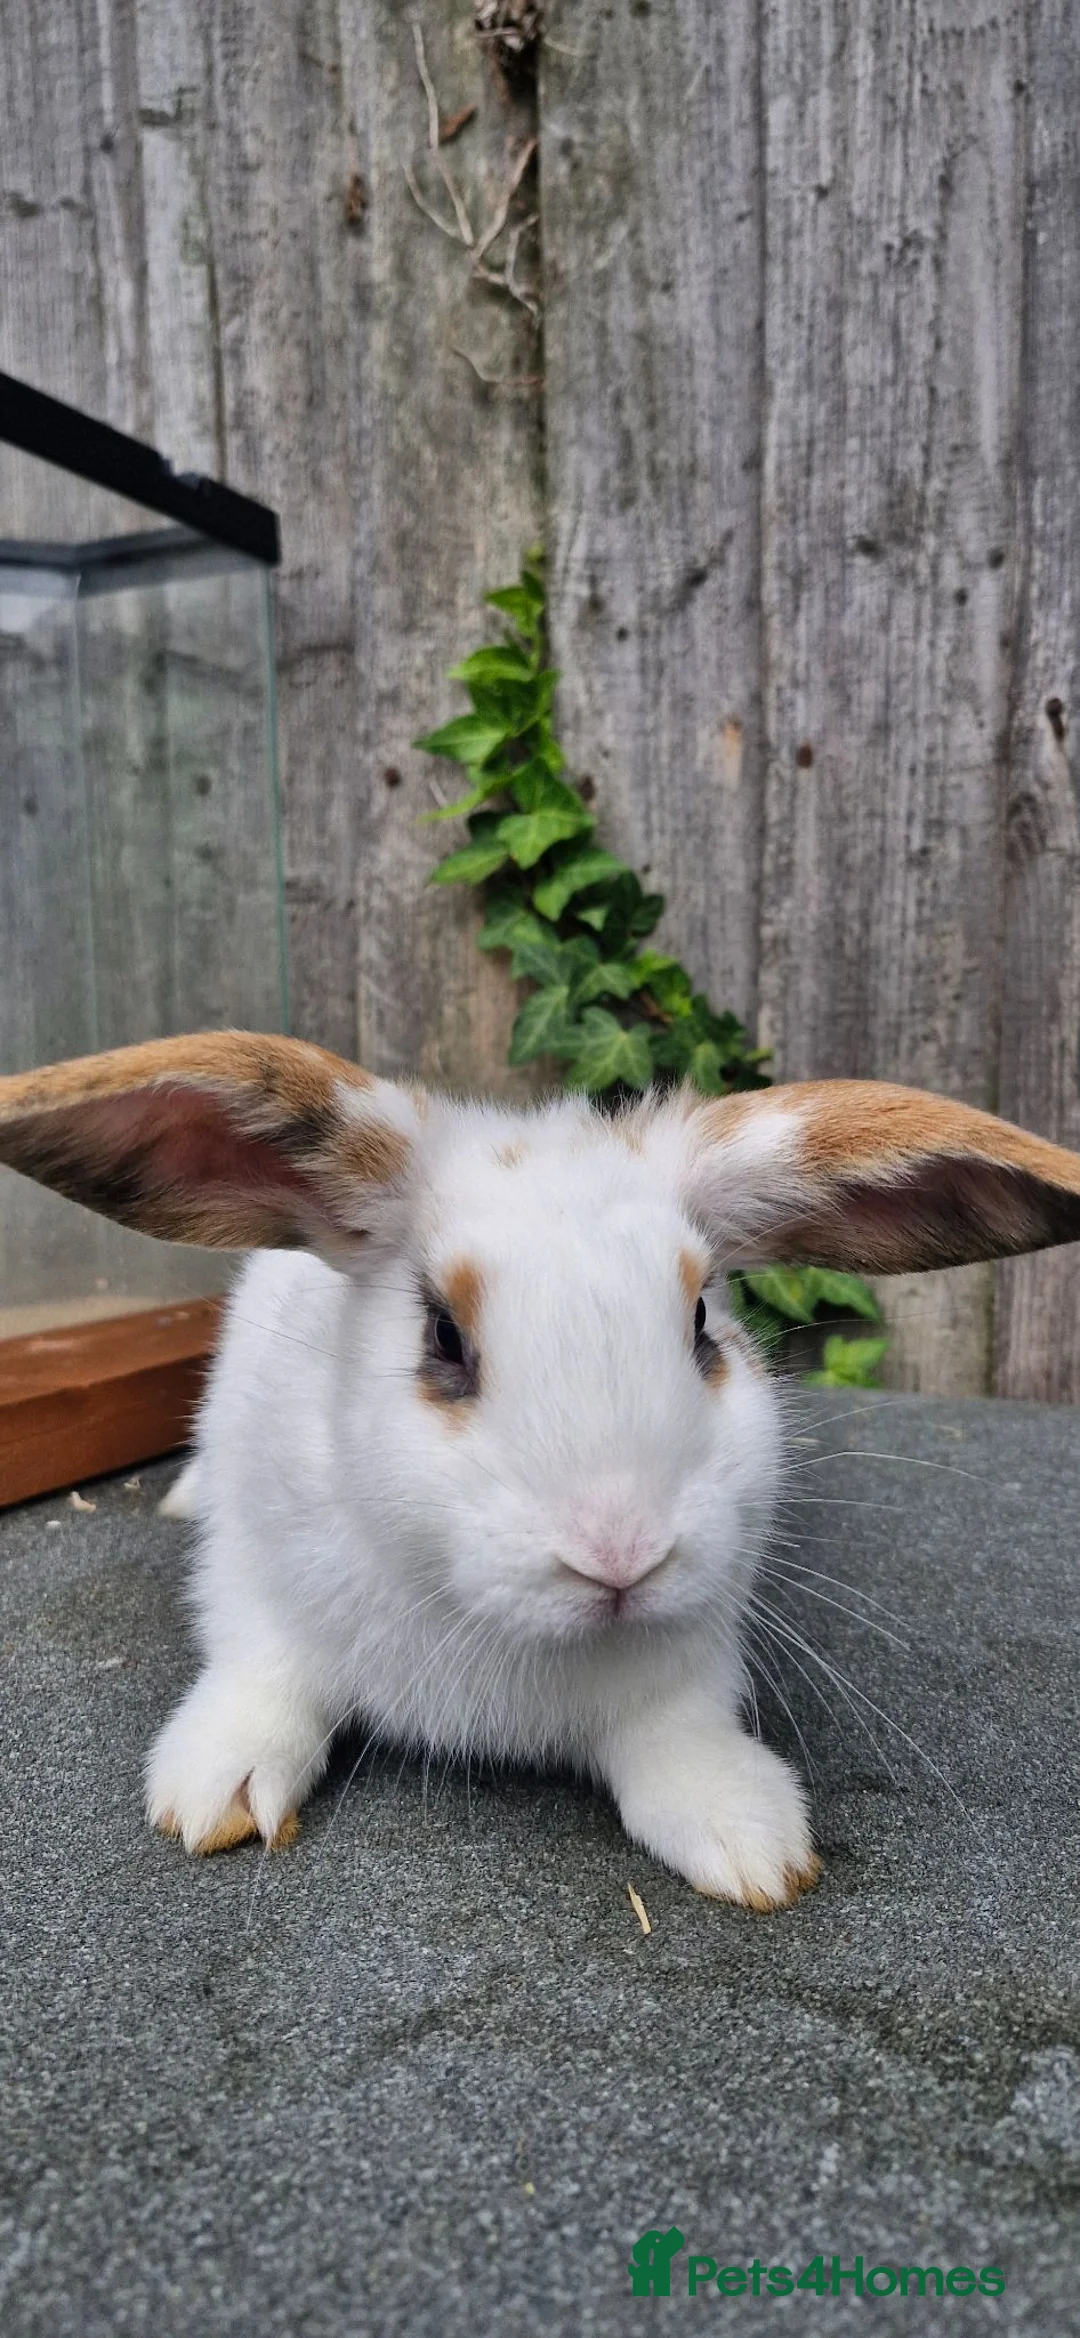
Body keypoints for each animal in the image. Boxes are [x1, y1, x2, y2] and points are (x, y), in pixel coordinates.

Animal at [2, 1031, 1079, 1909]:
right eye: (444, 1336)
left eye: (703, 1324)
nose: (622, 1555)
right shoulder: (256, 1578)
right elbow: (261, 1675)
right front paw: (210, 1792)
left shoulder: (693, 1662)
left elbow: (679, 1740)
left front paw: (750, 1837)